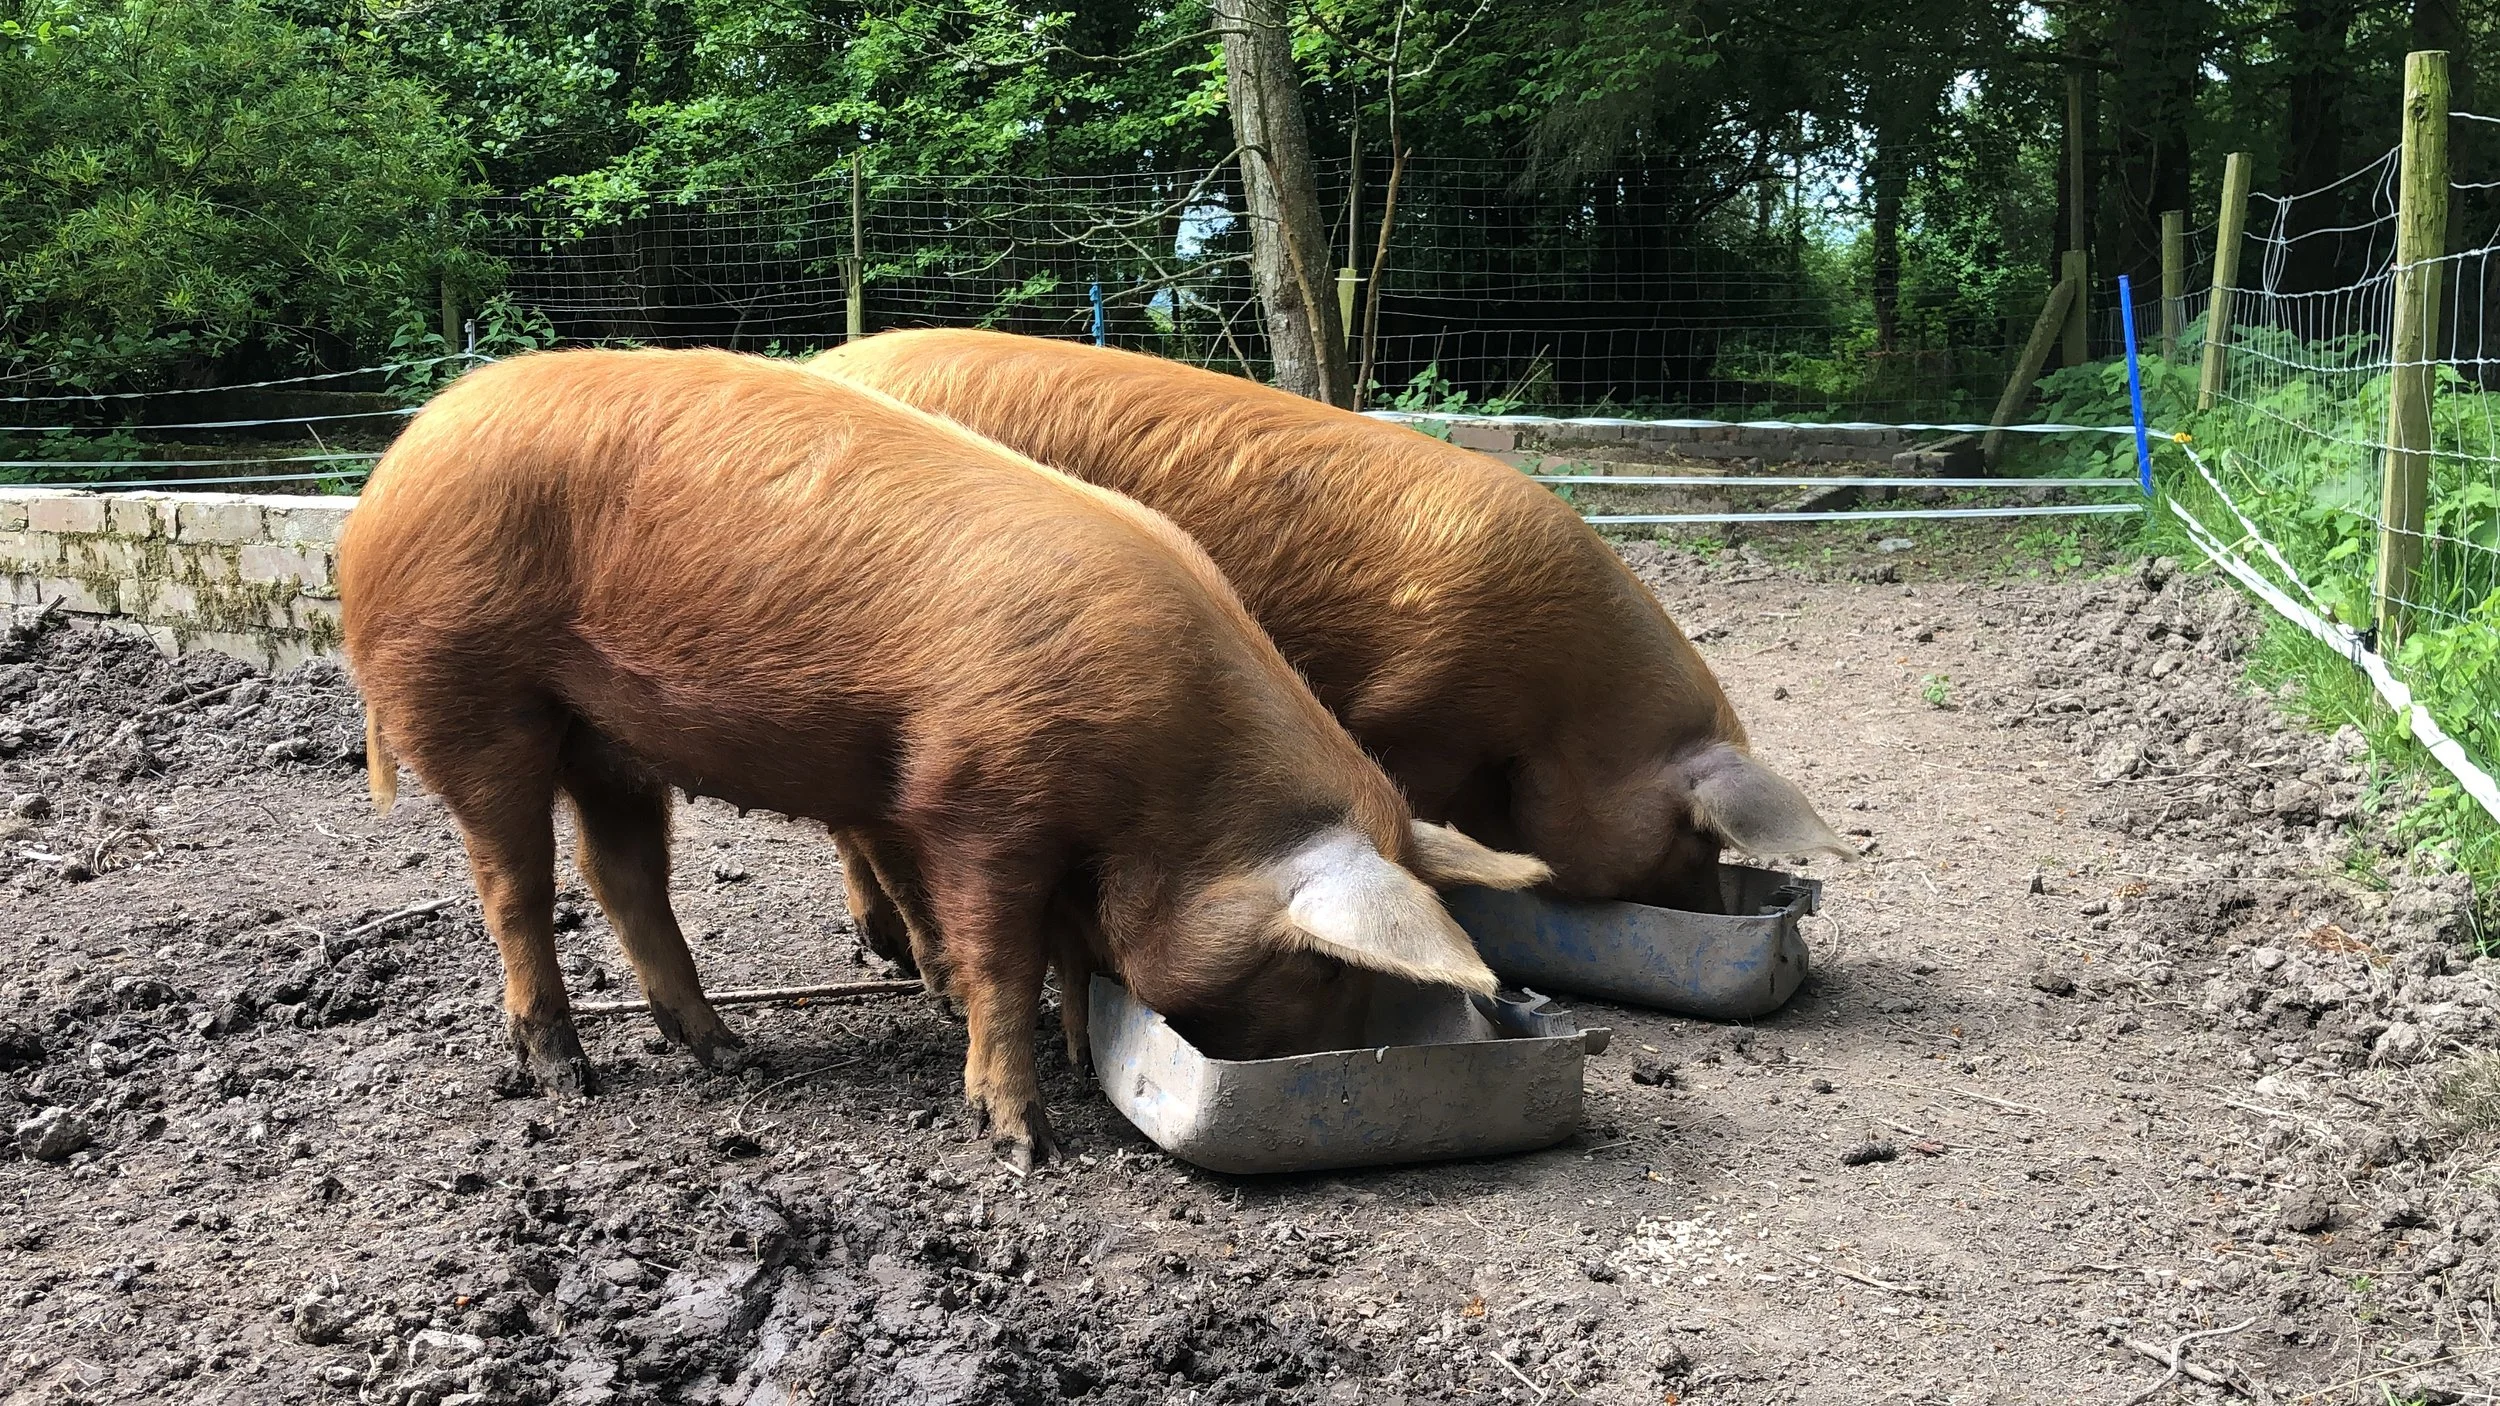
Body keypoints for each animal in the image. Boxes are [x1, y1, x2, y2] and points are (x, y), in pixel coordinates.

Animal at [339, 348, 1548, 1167]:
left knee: (624, 877)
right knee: (516, 885)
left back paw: (731, 1052)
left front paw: (1079, 1051)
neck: (1167, 789)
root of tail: (392, 470)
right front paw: (1024, 1140)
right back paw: (566, 1074)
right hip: (470, 688)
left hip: (609, 732)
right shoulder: (978, 798)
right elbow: (1000, 959)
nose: (1303, 1069)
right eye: (1321, 965)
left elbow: (1071, 951)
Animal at [807, 330, 1848, 978]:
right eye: (1694, 834)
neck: (1557, 711)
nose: (1714, 907)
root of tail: (828, 359)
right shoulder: (1411, 714)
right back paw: (888, 947)